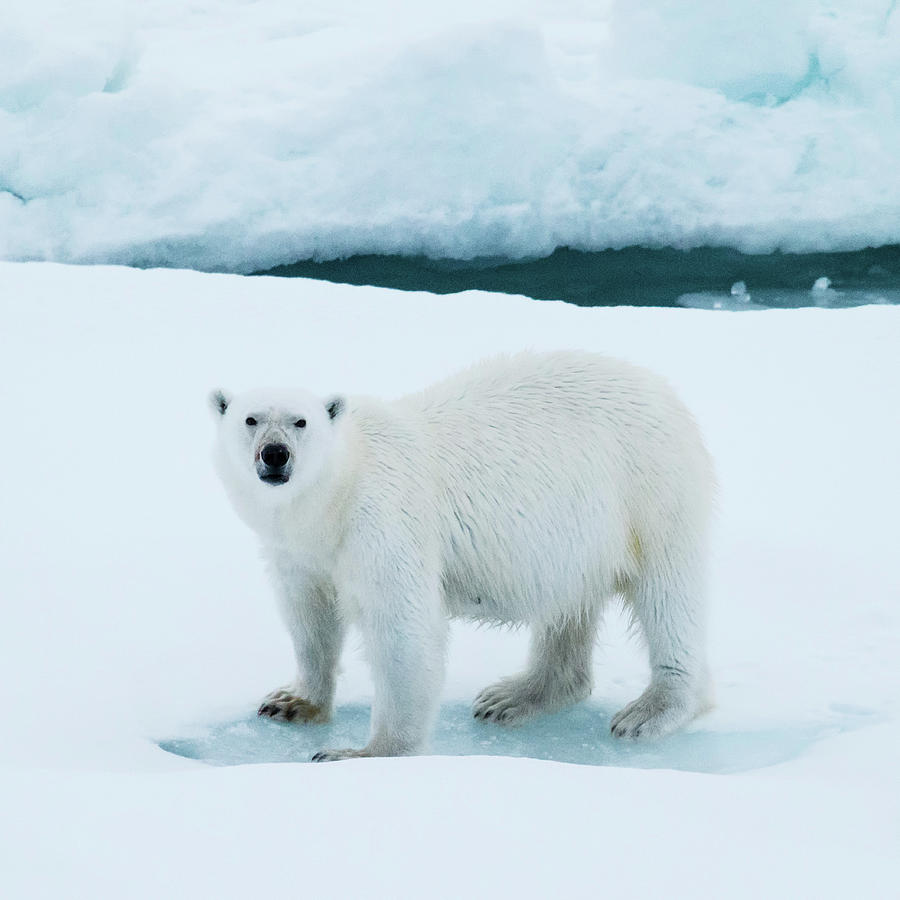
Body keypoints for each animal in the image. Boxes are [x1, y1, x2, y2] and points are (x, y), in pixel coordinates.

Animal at [207, 352, 712, 760]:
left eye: (301, 422)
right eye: (250, 419)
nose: (275, 455)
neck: (335, 497)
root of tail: (661, 389)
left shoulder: (381, 522)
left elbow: (403, 630)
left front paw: (363, 752)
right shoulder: (300, 551)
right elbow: (309, 618)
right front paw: (291, 701)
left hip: (650, 488)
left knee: (667, 595)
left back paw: (653, 709)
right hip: (581, 538)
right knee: (568, 602)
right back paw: (514, 697)